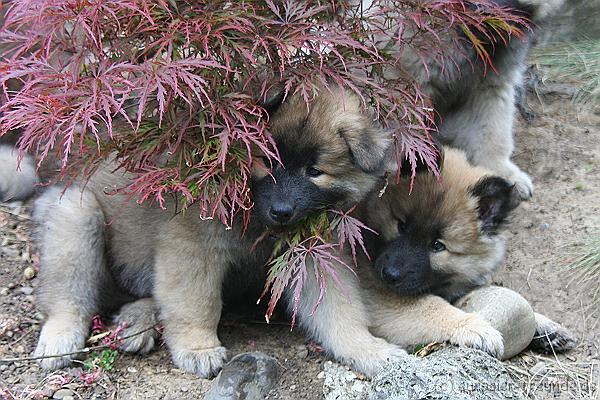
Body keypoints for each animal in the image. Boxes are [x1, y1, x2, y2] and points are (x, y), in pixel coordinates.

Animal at [34, 86, 408, 378]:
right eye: (266, 160)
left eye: (314, 171)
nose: (281, 211)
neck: (256, 224)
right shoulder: (192, 245)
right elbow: (197, 301)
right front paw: (198, 346)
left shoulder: (312, 255)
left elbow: (339, 311)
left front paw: (368, 349)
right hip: (76, 218)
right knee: (69, 294)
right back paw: (61, 336)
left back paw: (136, 319)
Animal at [354, 148, 576, 358]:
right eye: (401, 226)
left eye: (437, 246)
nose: (389, 275)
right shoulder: (379, 296)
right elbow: (433, 307)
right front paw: (474, 327)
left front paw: (546, 327)